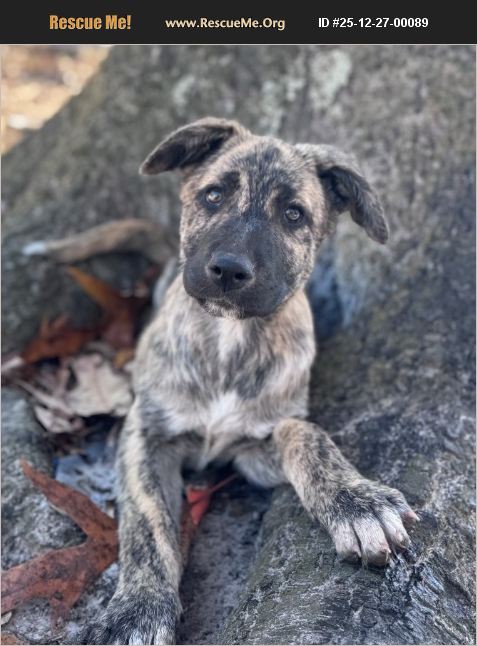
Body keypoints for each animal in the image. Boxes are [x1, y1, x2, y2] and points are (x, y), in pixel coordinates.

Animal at [83, 118, 418, 645]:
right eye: (214, 195)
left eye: (294, 215)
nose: (228, 269)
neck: (229, 339)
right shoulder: (145, 434)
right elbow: (147, 526)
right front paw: (138, 609)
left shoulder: (254, 450)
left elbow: (304, 433)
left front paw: (356, 502)